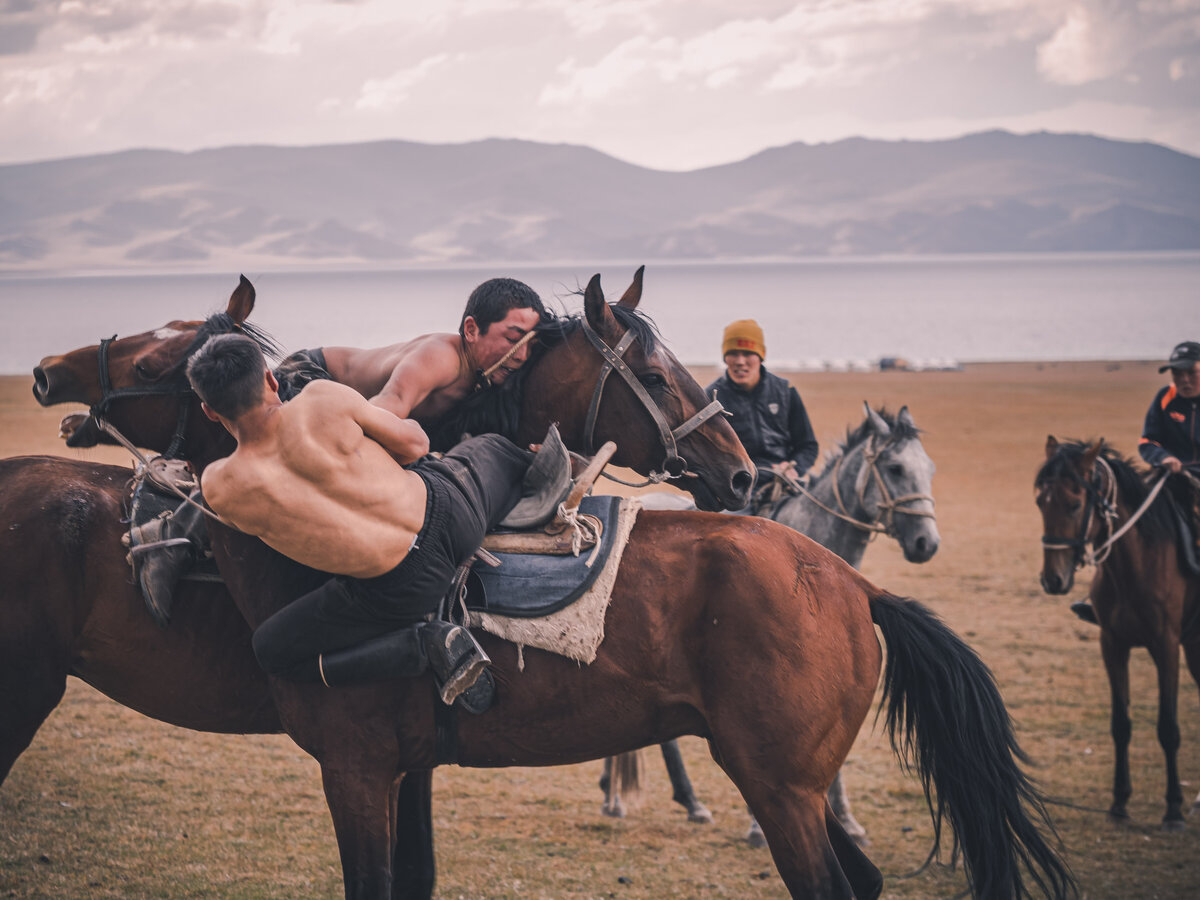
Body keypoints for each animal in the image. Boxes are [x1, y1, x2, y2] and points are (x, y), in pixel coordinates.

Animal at [600, 405, 936, 849]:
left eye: (929, 468)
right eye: (896, 468)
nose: (926, 543)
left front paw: (848, 820)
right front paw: (758, 827)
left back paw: (675, 800)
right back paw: (625, 799)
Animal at [1032, 436, 1200, 830]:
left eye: (1075, 504)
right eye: (1040, 502)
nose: (1053, 580)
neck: (1133, 566)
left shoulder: (1166, 647)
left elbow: (1168, 727)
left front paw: (1173, 808)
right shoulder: (1112, 644)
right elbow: (1120, 724)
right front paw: (1119, 802)